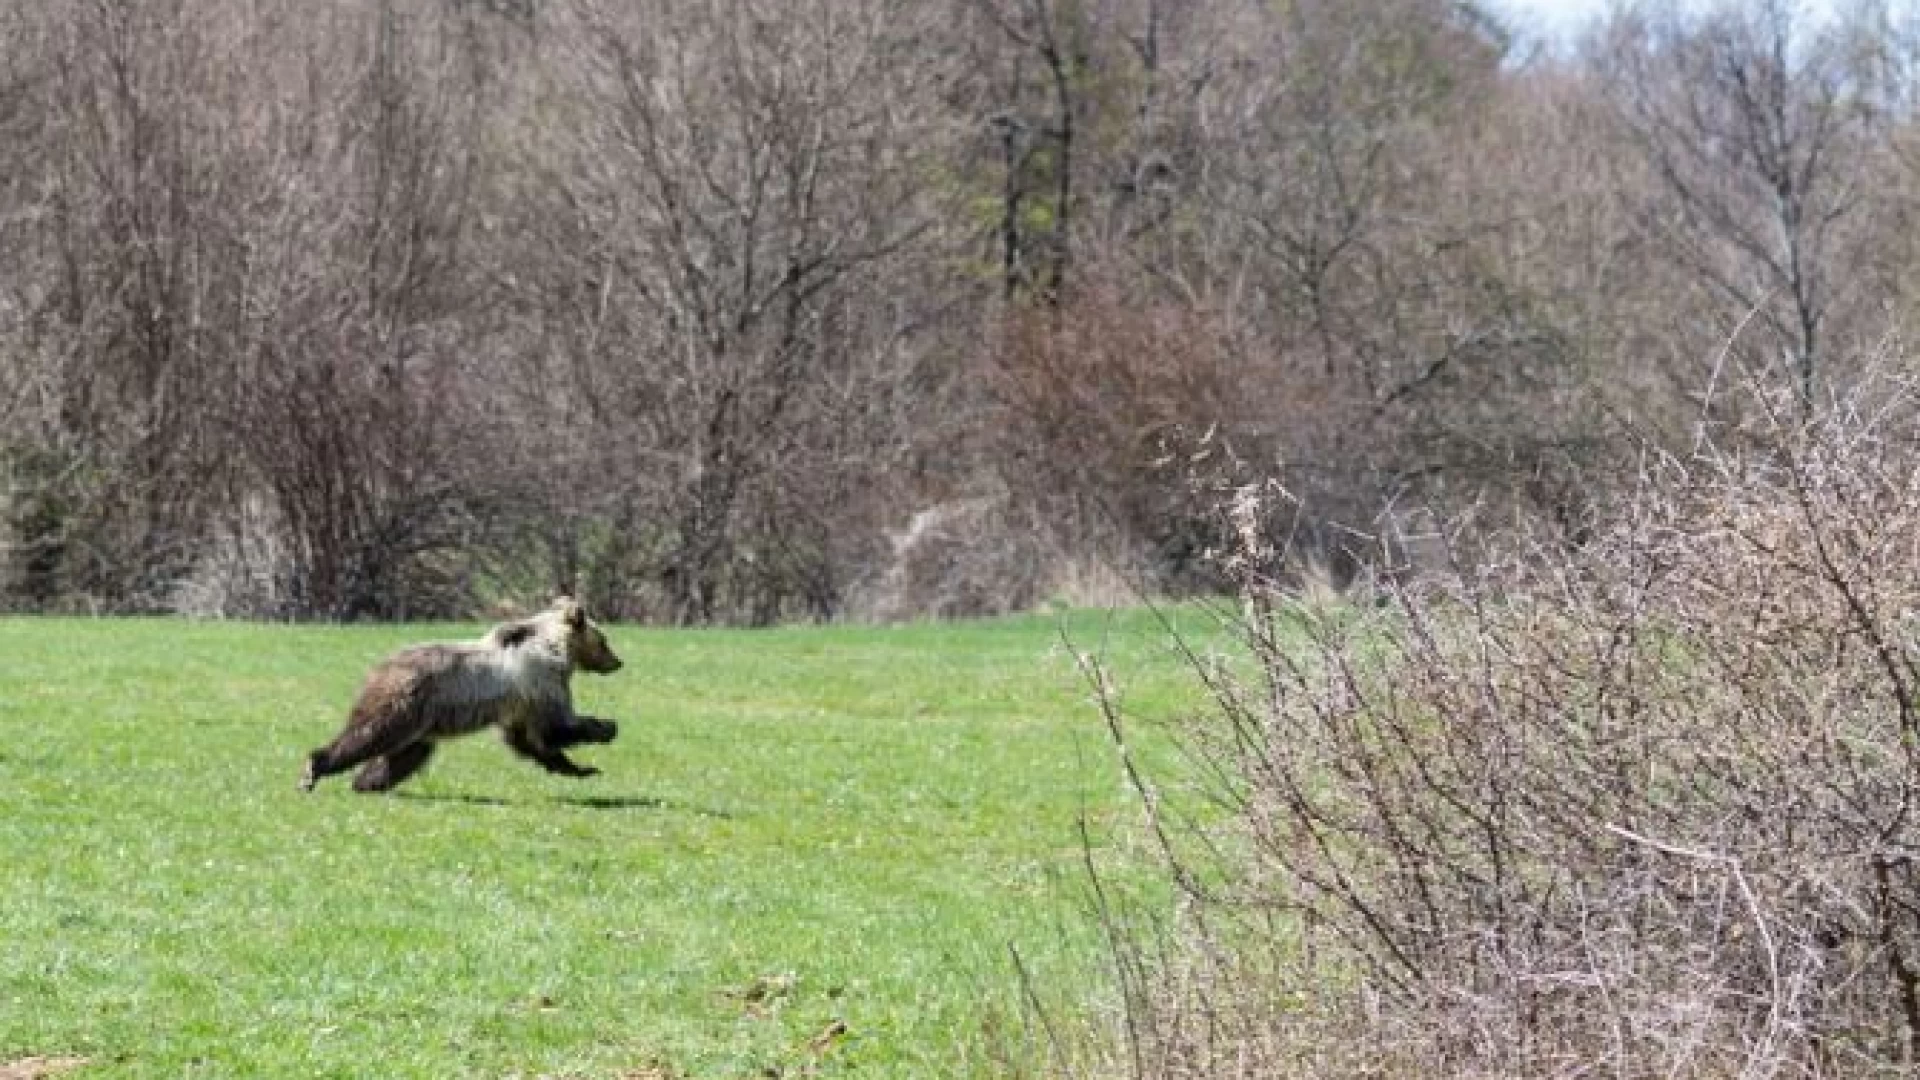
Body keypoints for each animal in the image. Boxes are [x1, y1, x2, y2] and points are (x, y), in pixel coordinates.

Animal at [301, 591, 622, 787]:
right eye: (604, 640)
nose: (618, 662)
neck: (555, 648)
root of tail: (379, 667)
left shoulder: (519, 704)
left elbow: (529, 740)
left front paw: (581, 769)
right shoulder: (541, 681)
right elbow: (554, 728)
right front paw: (606, 727)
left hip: (422, 724)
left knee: (404, 753)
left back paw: (367, 782)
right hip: (403, 702)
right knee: (368, 733)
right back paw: (315, 768)